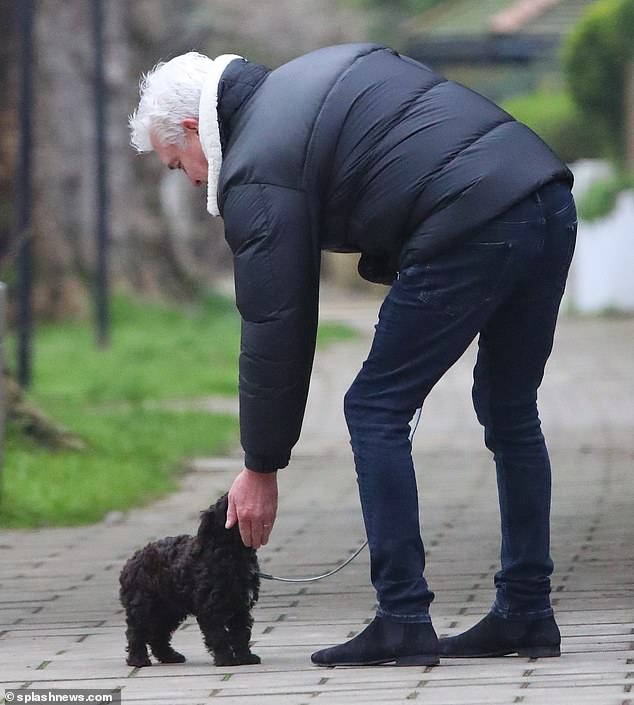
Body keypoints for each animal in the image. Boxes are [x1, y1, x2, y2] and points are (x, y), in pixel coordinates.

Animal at [118, 496, 260, 664]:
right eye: (230, 508)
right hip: (144, 606)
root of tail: (129, 564)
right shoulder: (210, 608)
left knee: (158, 635)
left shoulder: (240, 608)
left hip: (169, 609)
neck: (231, 554)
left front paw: (245, 657)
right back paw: (138, 659)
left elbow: (241, 634)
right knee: (135, 632)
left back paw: (170, 656)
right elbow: (219, 635)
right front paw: (226, 659)